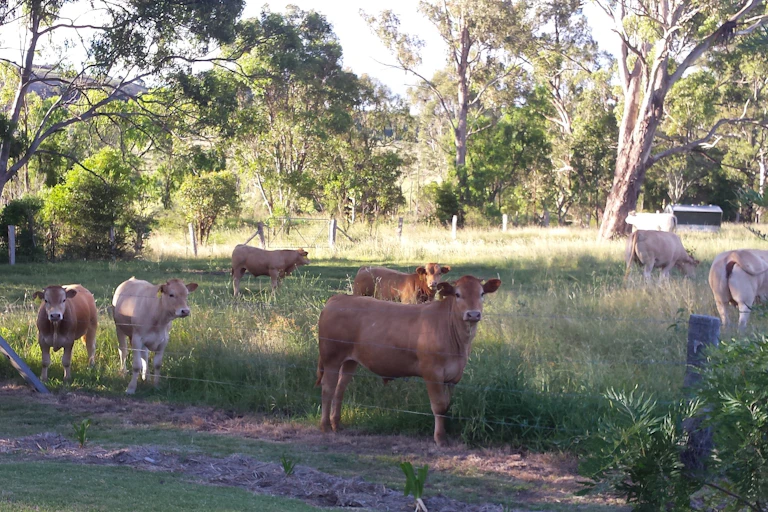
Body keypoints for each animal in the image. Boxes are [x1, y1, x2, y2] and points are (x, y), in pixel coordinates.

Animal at [316, 275, 502, 446]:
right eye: (457, 294)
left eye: (482, 294)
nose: (473, 314)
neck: (459, 344)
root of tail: (337, 298)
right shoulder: (432, 372)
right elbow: (439, 405)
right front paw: (440, 438)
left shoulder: (453, 376)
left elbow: (447, 405)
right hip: (331, 357)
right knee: (328, 388)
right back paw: (325, 426)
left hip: (350, 360)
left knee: (340, 388)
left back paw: (336, 424)